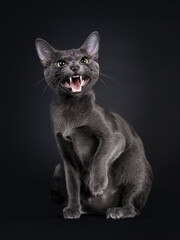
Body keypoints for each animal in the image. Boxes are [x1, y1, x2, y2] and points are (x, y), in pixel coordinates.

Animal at [34, 31, 152, 219]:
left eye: (84, 60)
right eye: (61, 63)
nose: (75, 67)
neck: (71, 109)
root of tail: (100, 209)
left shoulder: (114, 136)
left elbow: (100, 154)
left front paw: (96, 185)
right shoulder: (67, 156)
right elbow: (72, 186)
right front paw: (72, 209)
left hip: (136, 172)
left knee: (132, 205)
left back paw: (117, 211)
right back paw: (81, 209)